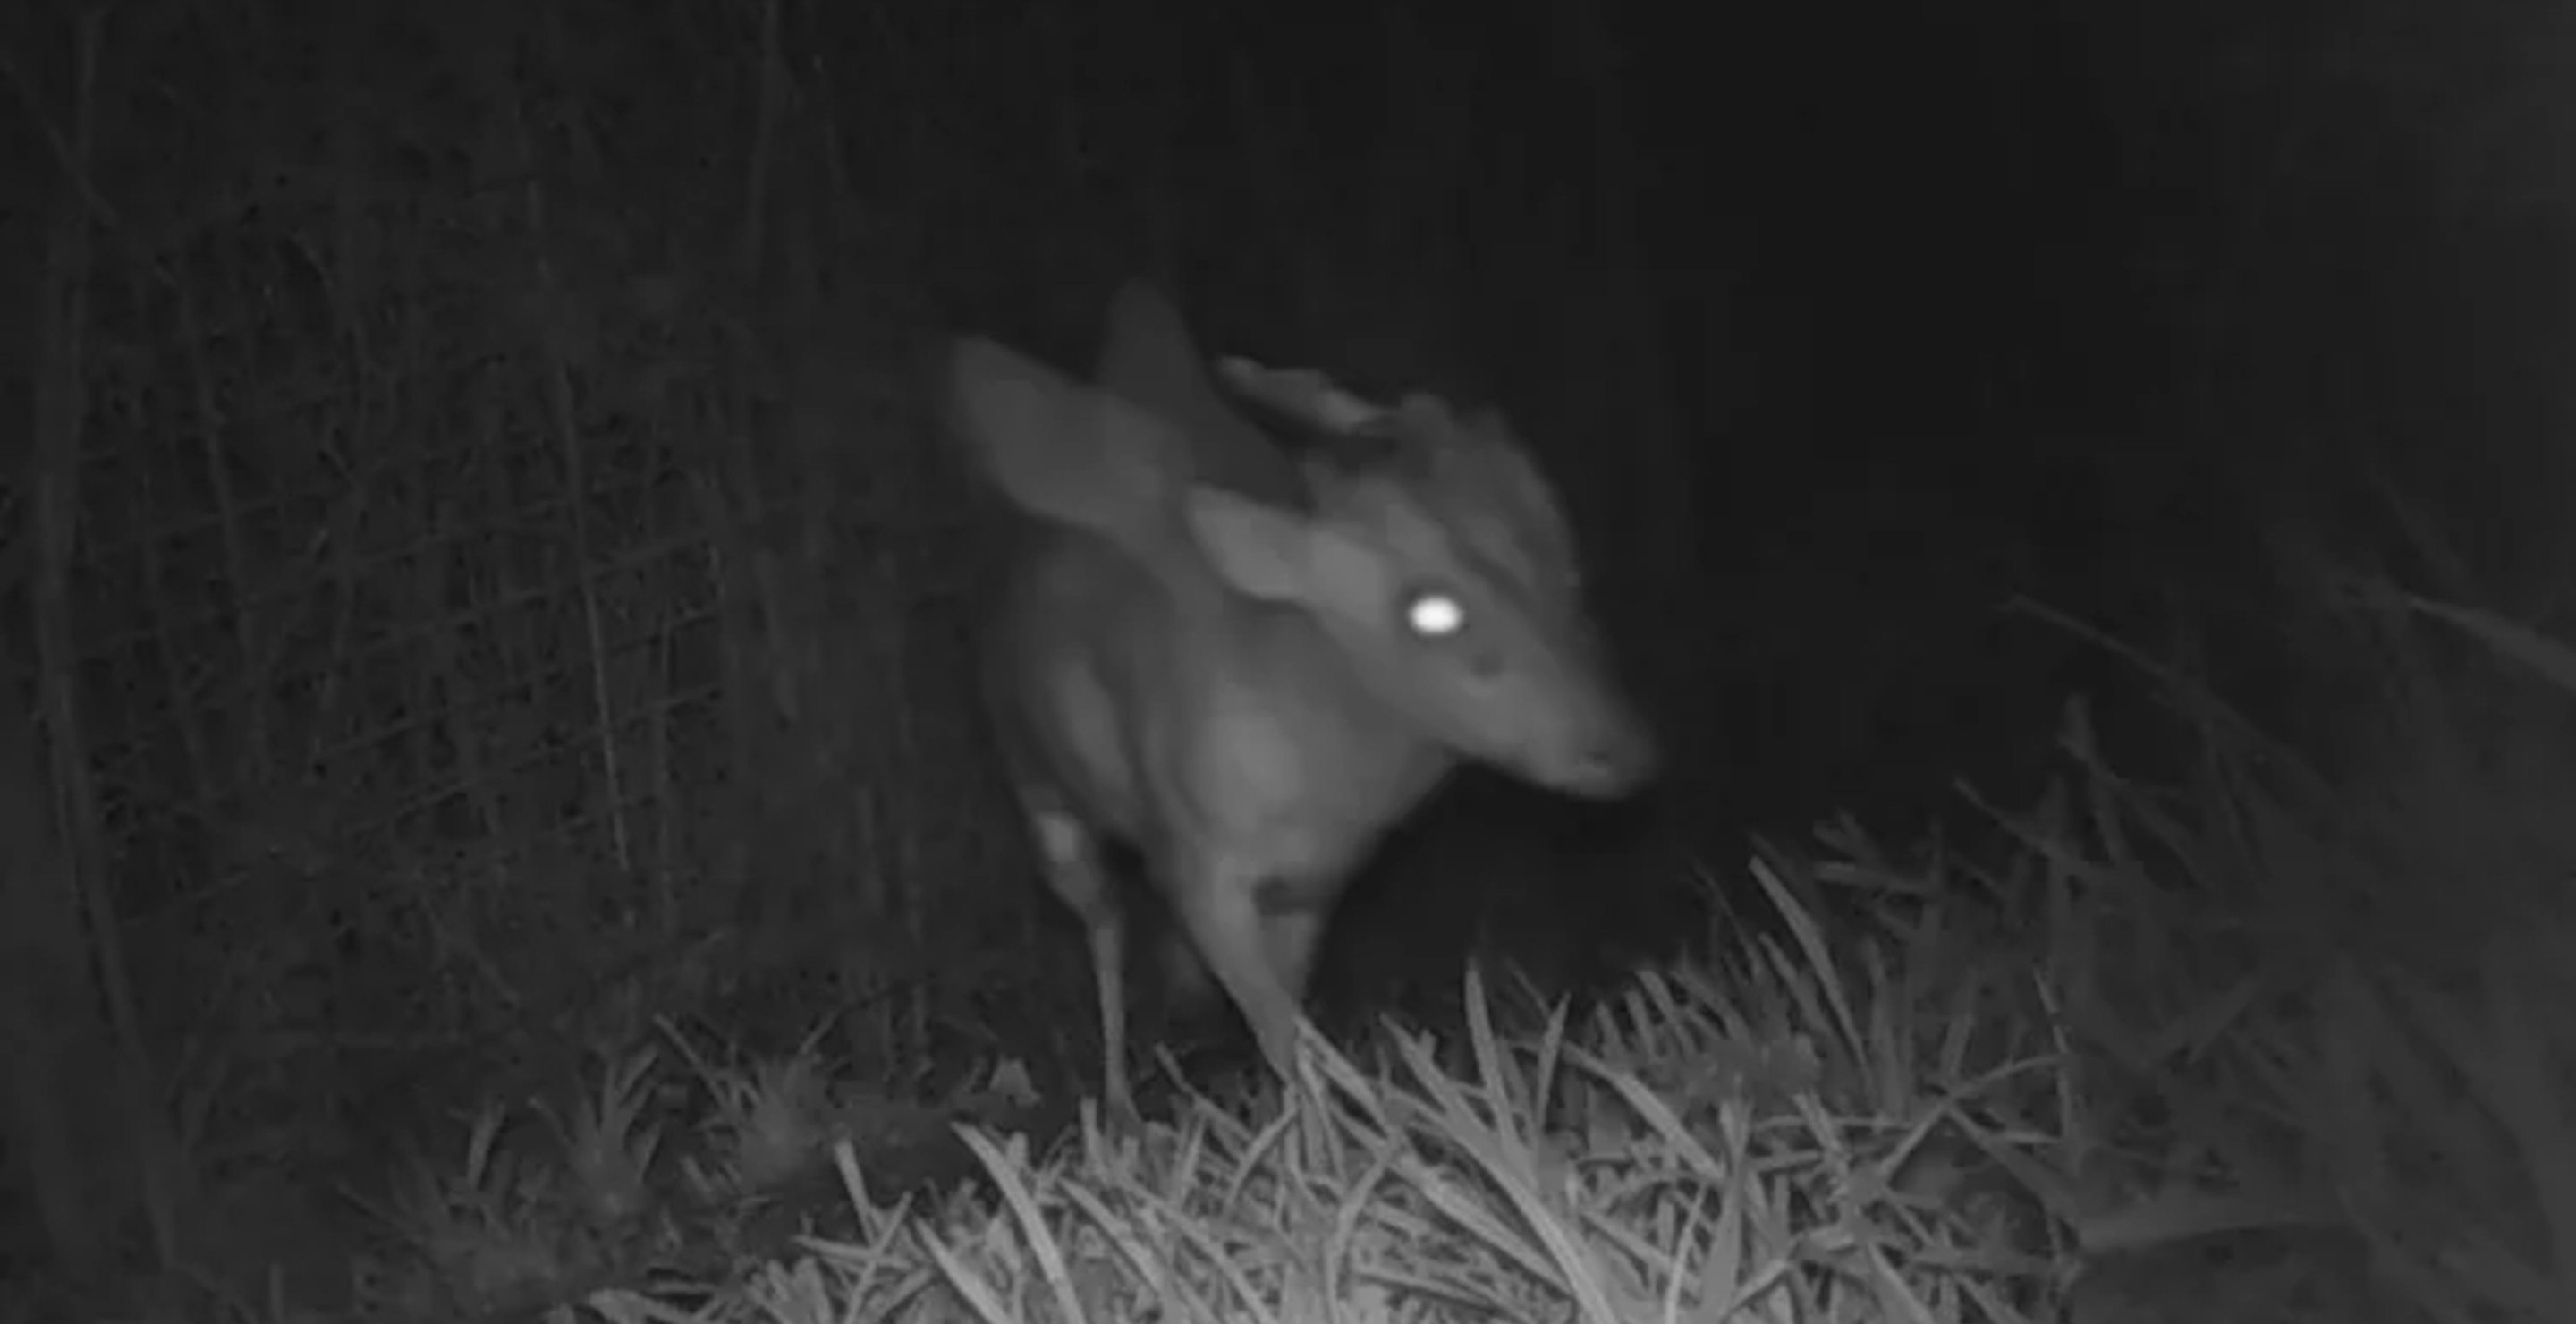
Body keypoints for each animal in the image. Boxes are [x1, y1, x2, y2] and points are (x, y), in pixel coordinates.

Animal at [958, 280, 1658, 1112]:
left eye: (1568, 563)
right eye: (1431, 609)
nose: (1625, 752)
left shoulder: (1314, 887)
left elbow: (1288, 1022)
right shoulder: (1200, 865)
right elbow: (1280, 1031)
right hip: (1043, 794)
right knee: (1102, 924)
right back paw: (1121, 1101)